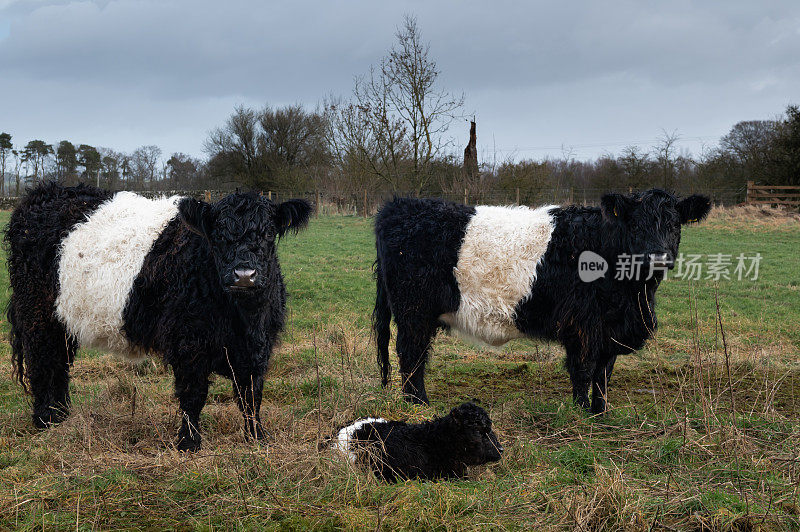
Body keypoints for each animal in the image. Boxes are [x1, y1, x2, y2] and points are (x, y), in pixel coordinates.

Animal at [7, 182, 312, 448]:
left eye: (268, 234)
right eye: (217, 236)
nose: (244, 275)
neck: (244, 319)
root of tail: (44, 192)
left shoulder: (258, 348)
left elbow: (251, 395)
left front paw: (257, 438)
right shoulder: (188, 344)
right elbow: (193, 395)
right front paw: (189, 443)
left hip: (62, 320)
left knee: (59, 364)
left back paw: (61, 416)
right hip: (37, 314)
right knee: (42, 362)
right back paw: (45, 419)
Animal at [372, 189, 708, 414]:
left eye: (675, 225)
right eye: (636, 225)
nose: (659, 258)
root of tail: (398, 205)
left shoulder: (608, 327)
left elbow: (604, 373)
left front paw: (600, 412)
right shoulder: (582, 323)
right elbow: (583, 369)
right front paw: (580, 412)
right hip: (414, 312)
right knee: (411, 355)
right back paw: (419, 404)